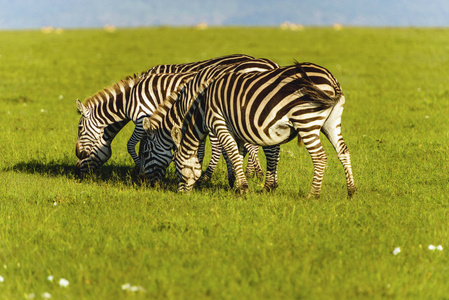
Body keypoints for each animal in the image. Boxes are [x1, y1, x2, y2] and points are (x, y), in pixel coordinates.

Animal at [74, 54, 260, 176]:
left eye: (80, 128)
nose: (76, 171)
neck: (129, 99)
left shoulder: (142, 117)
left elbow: (132, 145)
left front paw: (139, 168)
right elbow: (145, 144)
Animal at [170, 62, 356, 199]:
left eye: (177, 165)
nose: (181, 195)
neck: (203, 110)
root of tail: (331, 79)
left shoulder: (220, 123)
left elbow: (232, 154)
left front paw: (243, 189)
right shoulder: (235, 130)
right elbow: (237, 156)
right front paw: (238, 186)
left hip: (305, 119)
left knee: (319, 156)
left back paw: (313, 194)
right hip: (331, 121)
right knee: (343, 151)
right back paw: (351, 191)